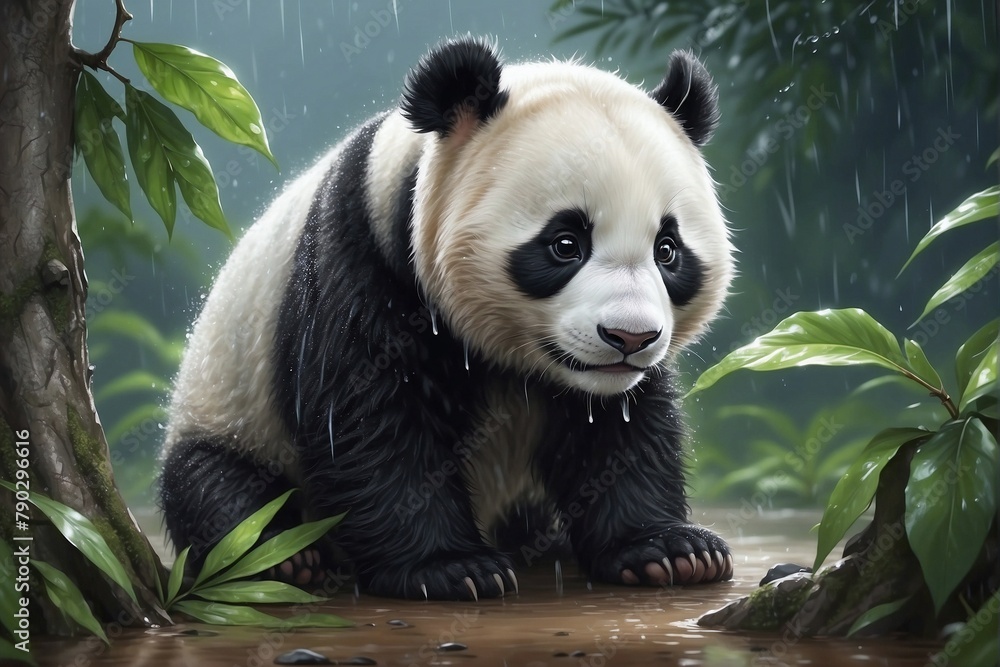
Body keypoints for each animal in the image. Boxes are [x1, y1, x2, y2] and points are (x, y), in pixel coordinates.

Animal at [160, 35, 735, 601]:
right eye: (565, 244)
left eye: (667, 250)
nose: (630, 337)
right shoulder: (361, 258)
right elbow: (369, 419)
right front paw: (450, 568)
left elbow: (622, 428)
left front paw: (670, 550)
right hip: (230, 407)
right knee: (216, 485)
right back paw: (283, 557)